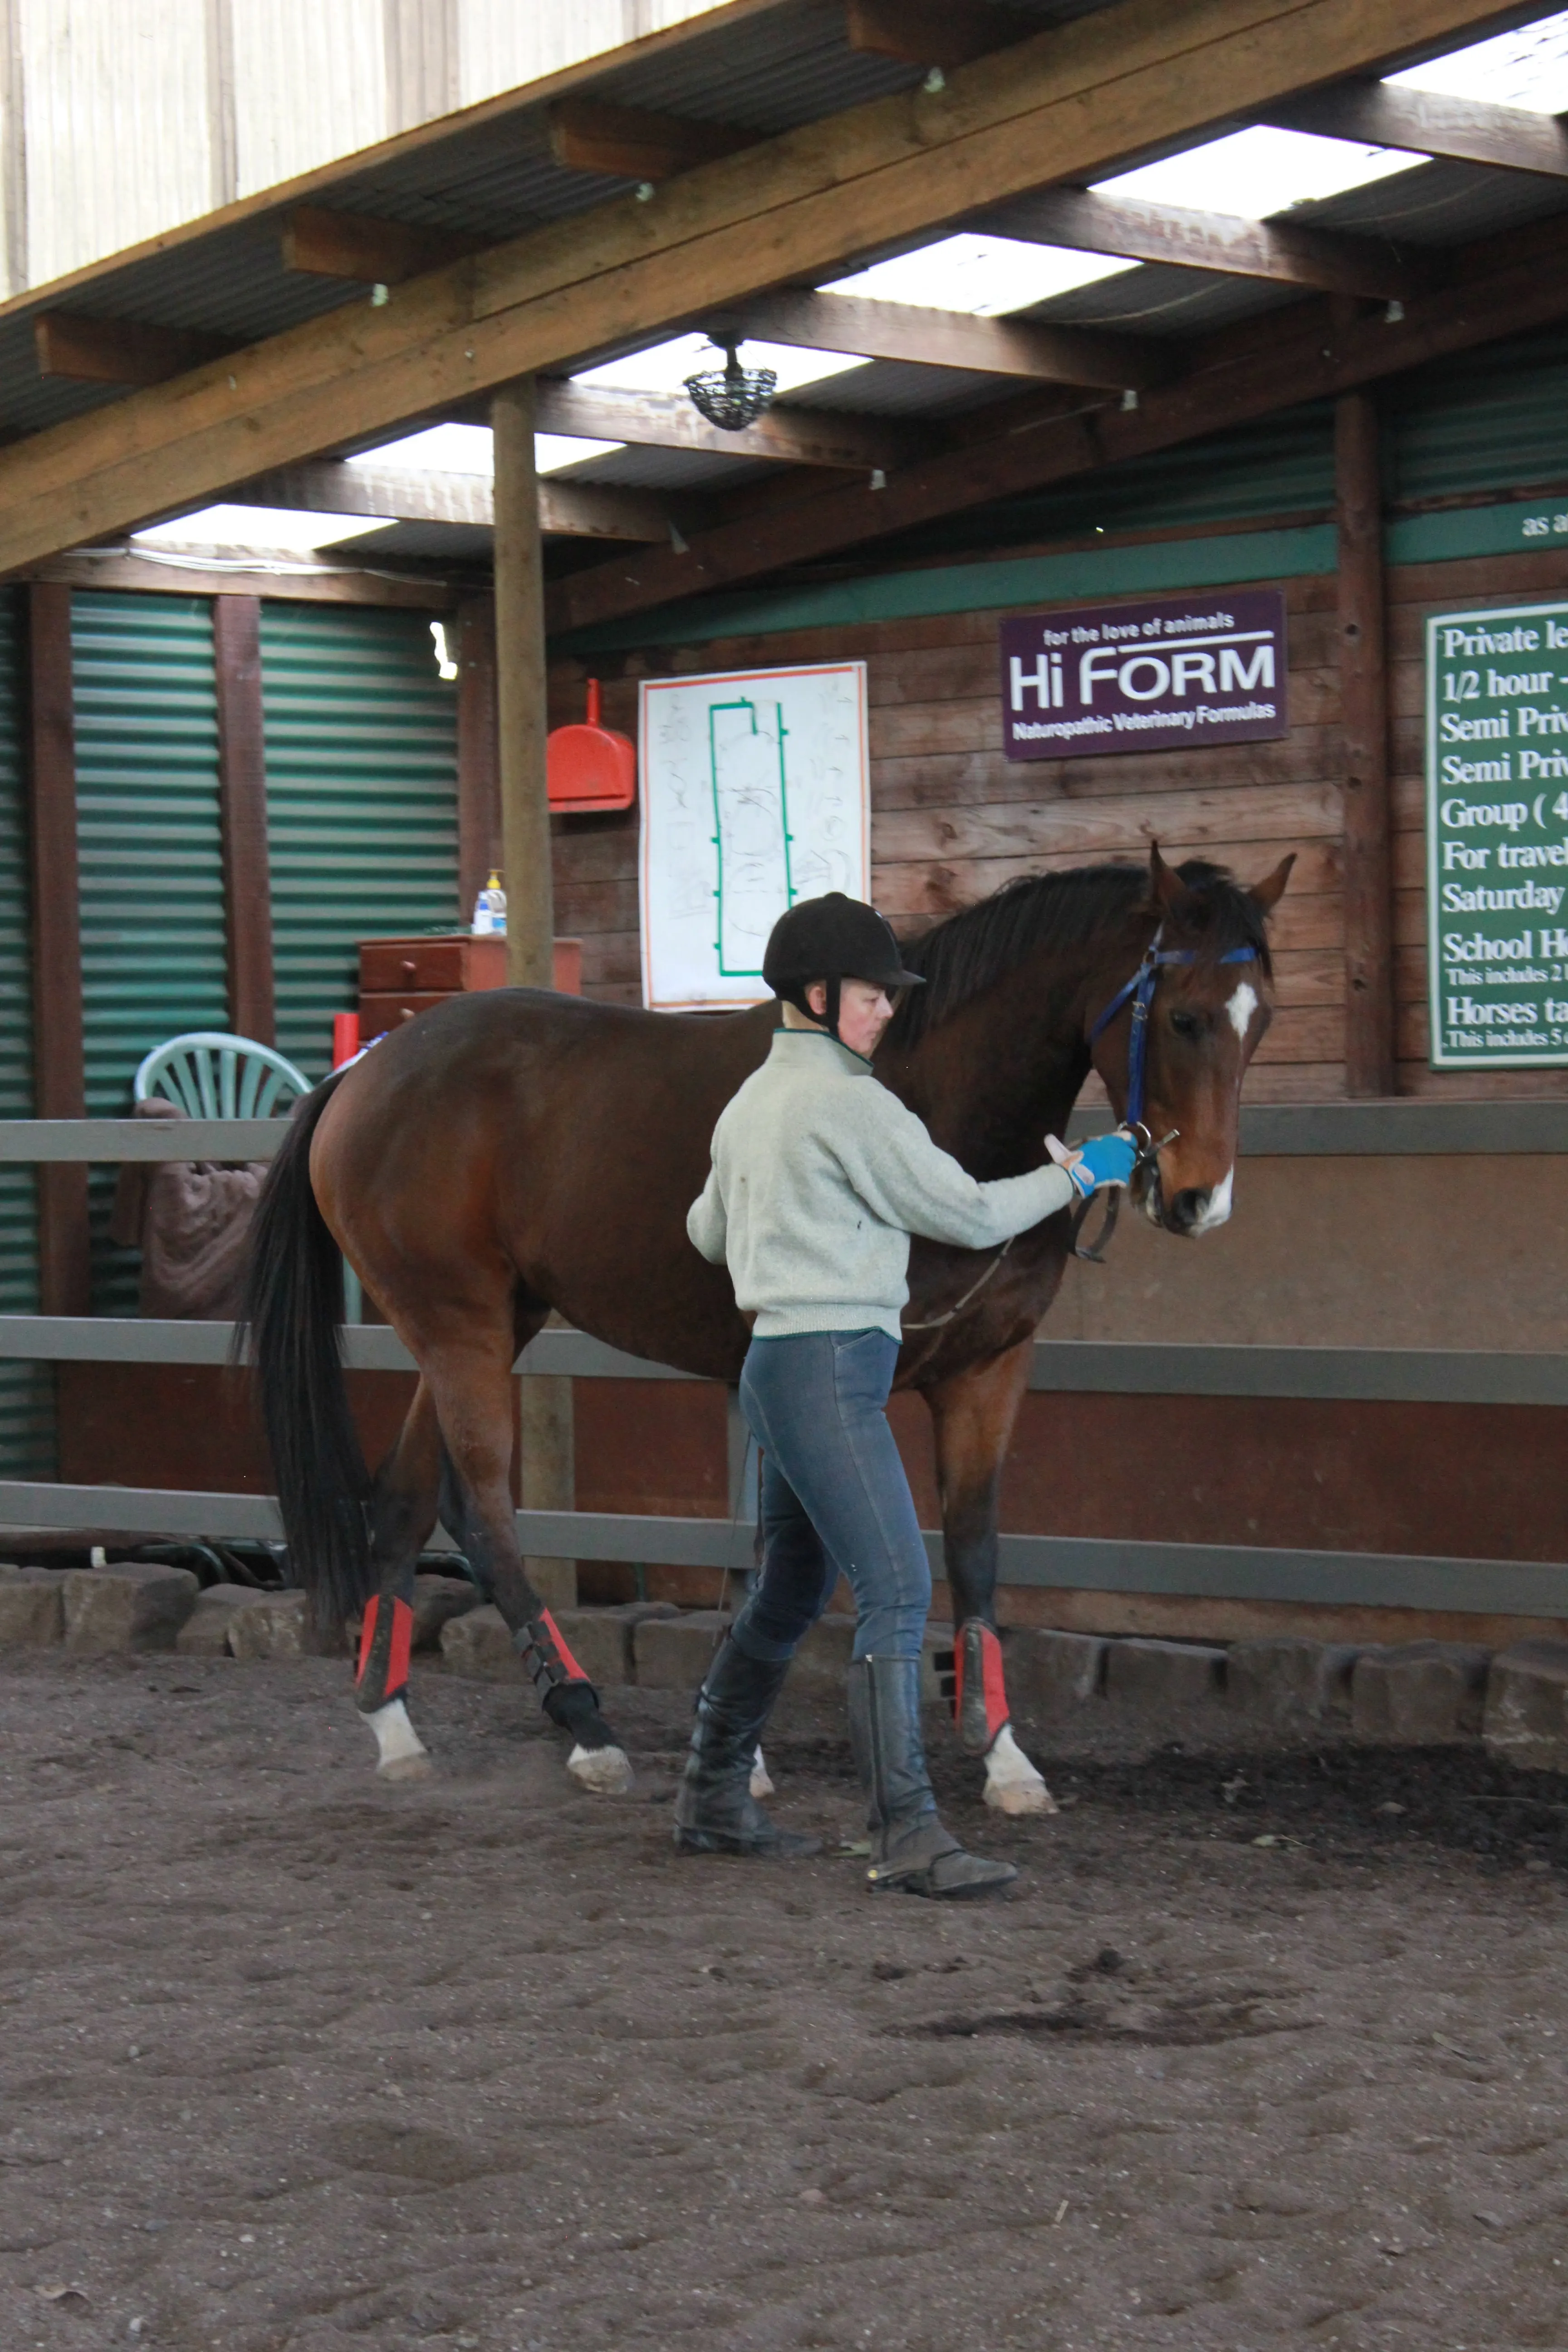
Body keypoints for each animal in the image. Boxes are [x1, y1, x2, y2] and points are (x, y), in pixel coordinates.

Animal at [242, 842, 1288, 1797]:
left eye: (1260, 1019)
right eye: (1184, 1015)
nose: (1199, 1201)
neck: (929, 1099)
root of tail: (362, 1075)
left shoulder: (986, 1371)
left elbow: (975, 1542)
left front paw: (1002, 1753)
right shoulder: (825, 1377)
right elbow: (795, 1554)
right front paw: (743, 1751)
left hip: (485, 1323)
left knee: (412, 1500)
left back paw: (394, 1721)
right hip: (460, 1328)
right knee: (487, 1505)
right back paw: (586, 1725)